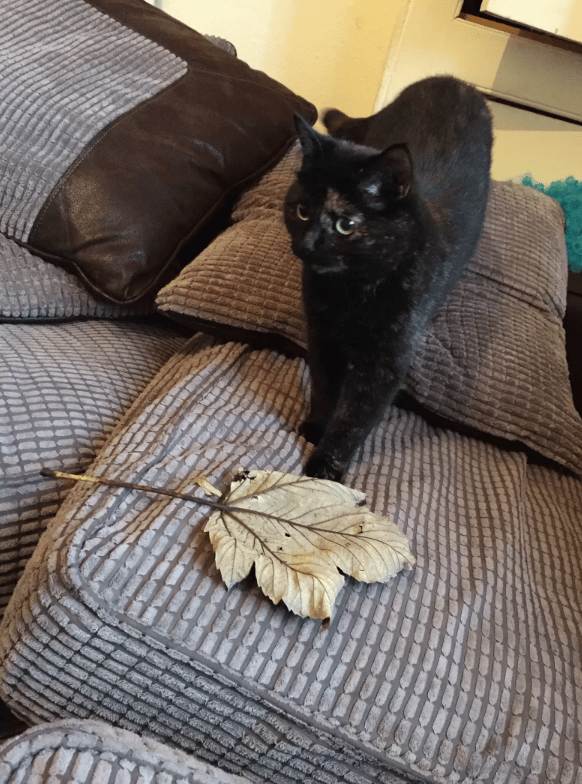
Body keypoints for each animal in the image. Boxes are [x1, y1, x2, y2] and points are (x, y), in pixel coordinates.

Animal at [286, 78, 496, 484]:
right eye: (301, 211)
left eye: (345, 224)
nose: (306, 245)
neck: (350, 289)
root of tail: (455, 82)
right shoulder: (321, 332)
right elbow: (324, 383)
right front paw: (317, 425)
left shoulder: (385, 361)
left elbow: (355, 416)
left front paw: (326, 466)